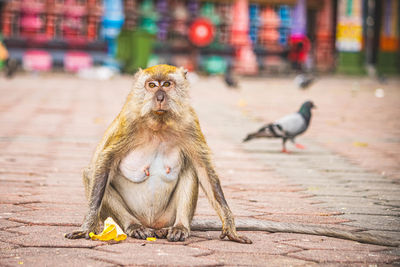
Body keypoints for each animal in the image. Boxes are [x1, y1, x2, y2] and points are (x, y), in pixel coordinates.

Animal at [65, 65, 396, 249]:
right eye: (151, 85)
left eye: (167, 84)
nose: (159, 97)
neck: (159, 122)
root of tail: (157, 224)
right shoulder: (129, 121)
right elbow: (100, 165)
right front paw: (87, 226)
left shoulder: (189, 123)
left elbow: (204, 169)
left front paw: (231, 226)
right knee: (93, 174)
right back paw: (134, 227)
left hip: (167, 217)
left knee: (190, 169)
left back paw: (181, 228)